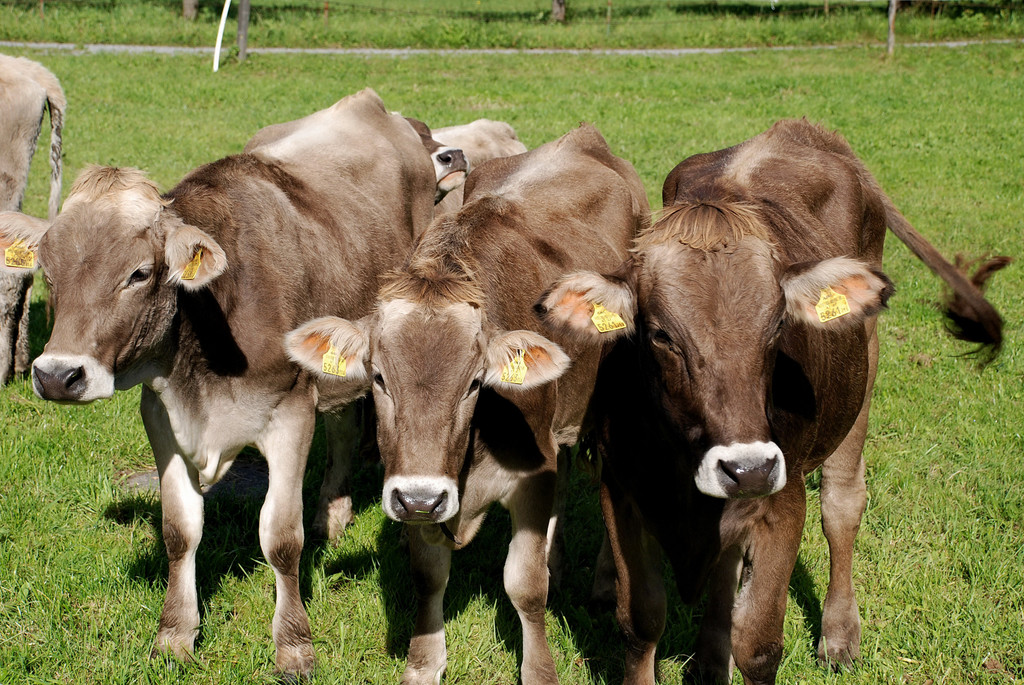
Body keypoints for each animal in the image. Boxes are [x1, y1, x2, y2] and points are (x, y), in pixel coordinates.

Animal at [0, 88, 438, 677]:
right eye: (48, 268)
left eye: (140, 273)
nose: (56, 376)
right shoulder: (162, 415)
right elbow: (179, 532)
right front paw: (174, 636)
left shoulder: (291, 411)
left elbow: (281, 537)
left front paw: (294, 646)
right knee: (345, 426)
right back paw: (333, 513)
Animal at [285, 123, 648, 684]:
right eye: (379, 377)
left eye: (475, 383)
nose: (420, 500)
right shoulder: (416, 481)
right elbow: (428, 574)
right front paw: (423, 662)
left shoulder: (531, 476)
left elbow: (525, 584)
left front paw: (540, 670)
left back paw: (604, 582)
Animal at [536, 119, 1009, 685]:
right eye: (661, 335)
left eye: (779, 325)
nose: (749, 468)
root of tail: (801, 129)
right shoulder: (622, 488)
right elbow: (642, 620)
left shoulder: (784, 500)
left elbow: (760, 644)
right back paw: (710, 656)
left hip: (862, 371)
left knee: (843, 503)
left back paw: (839, 634)